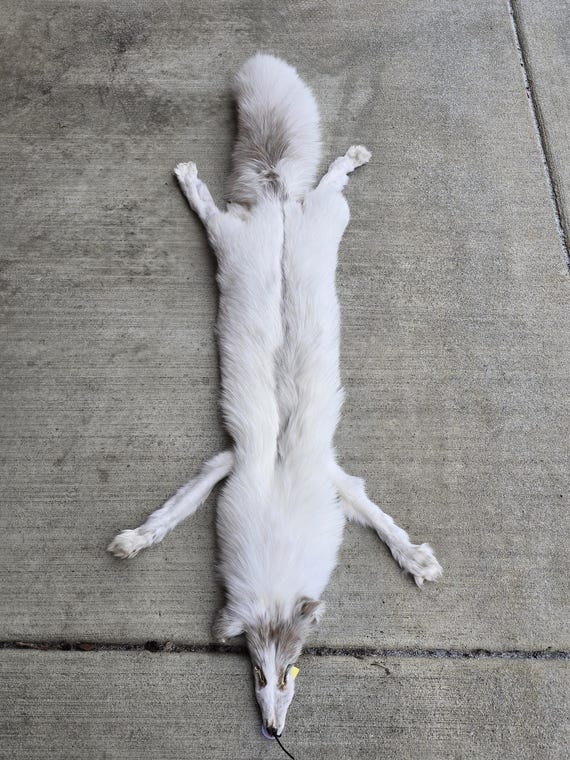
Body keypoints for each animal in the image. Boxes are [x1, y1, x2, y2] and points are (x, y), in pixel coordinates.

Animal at [107, 53, 442, 739]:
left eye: (290, 672)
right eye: (257, 674)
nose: (273, 731)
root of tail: (276, 200)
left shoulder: (328, 473)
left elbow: (380, 519)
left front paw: (417, 561)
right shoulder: (231, 461)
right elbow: (173, 511)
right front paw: (135, 540)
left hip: (317, 221)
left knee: (324, 184)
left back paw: (349, 156)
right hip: (250, 236)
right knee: (226, 204)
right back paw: (192, 175)